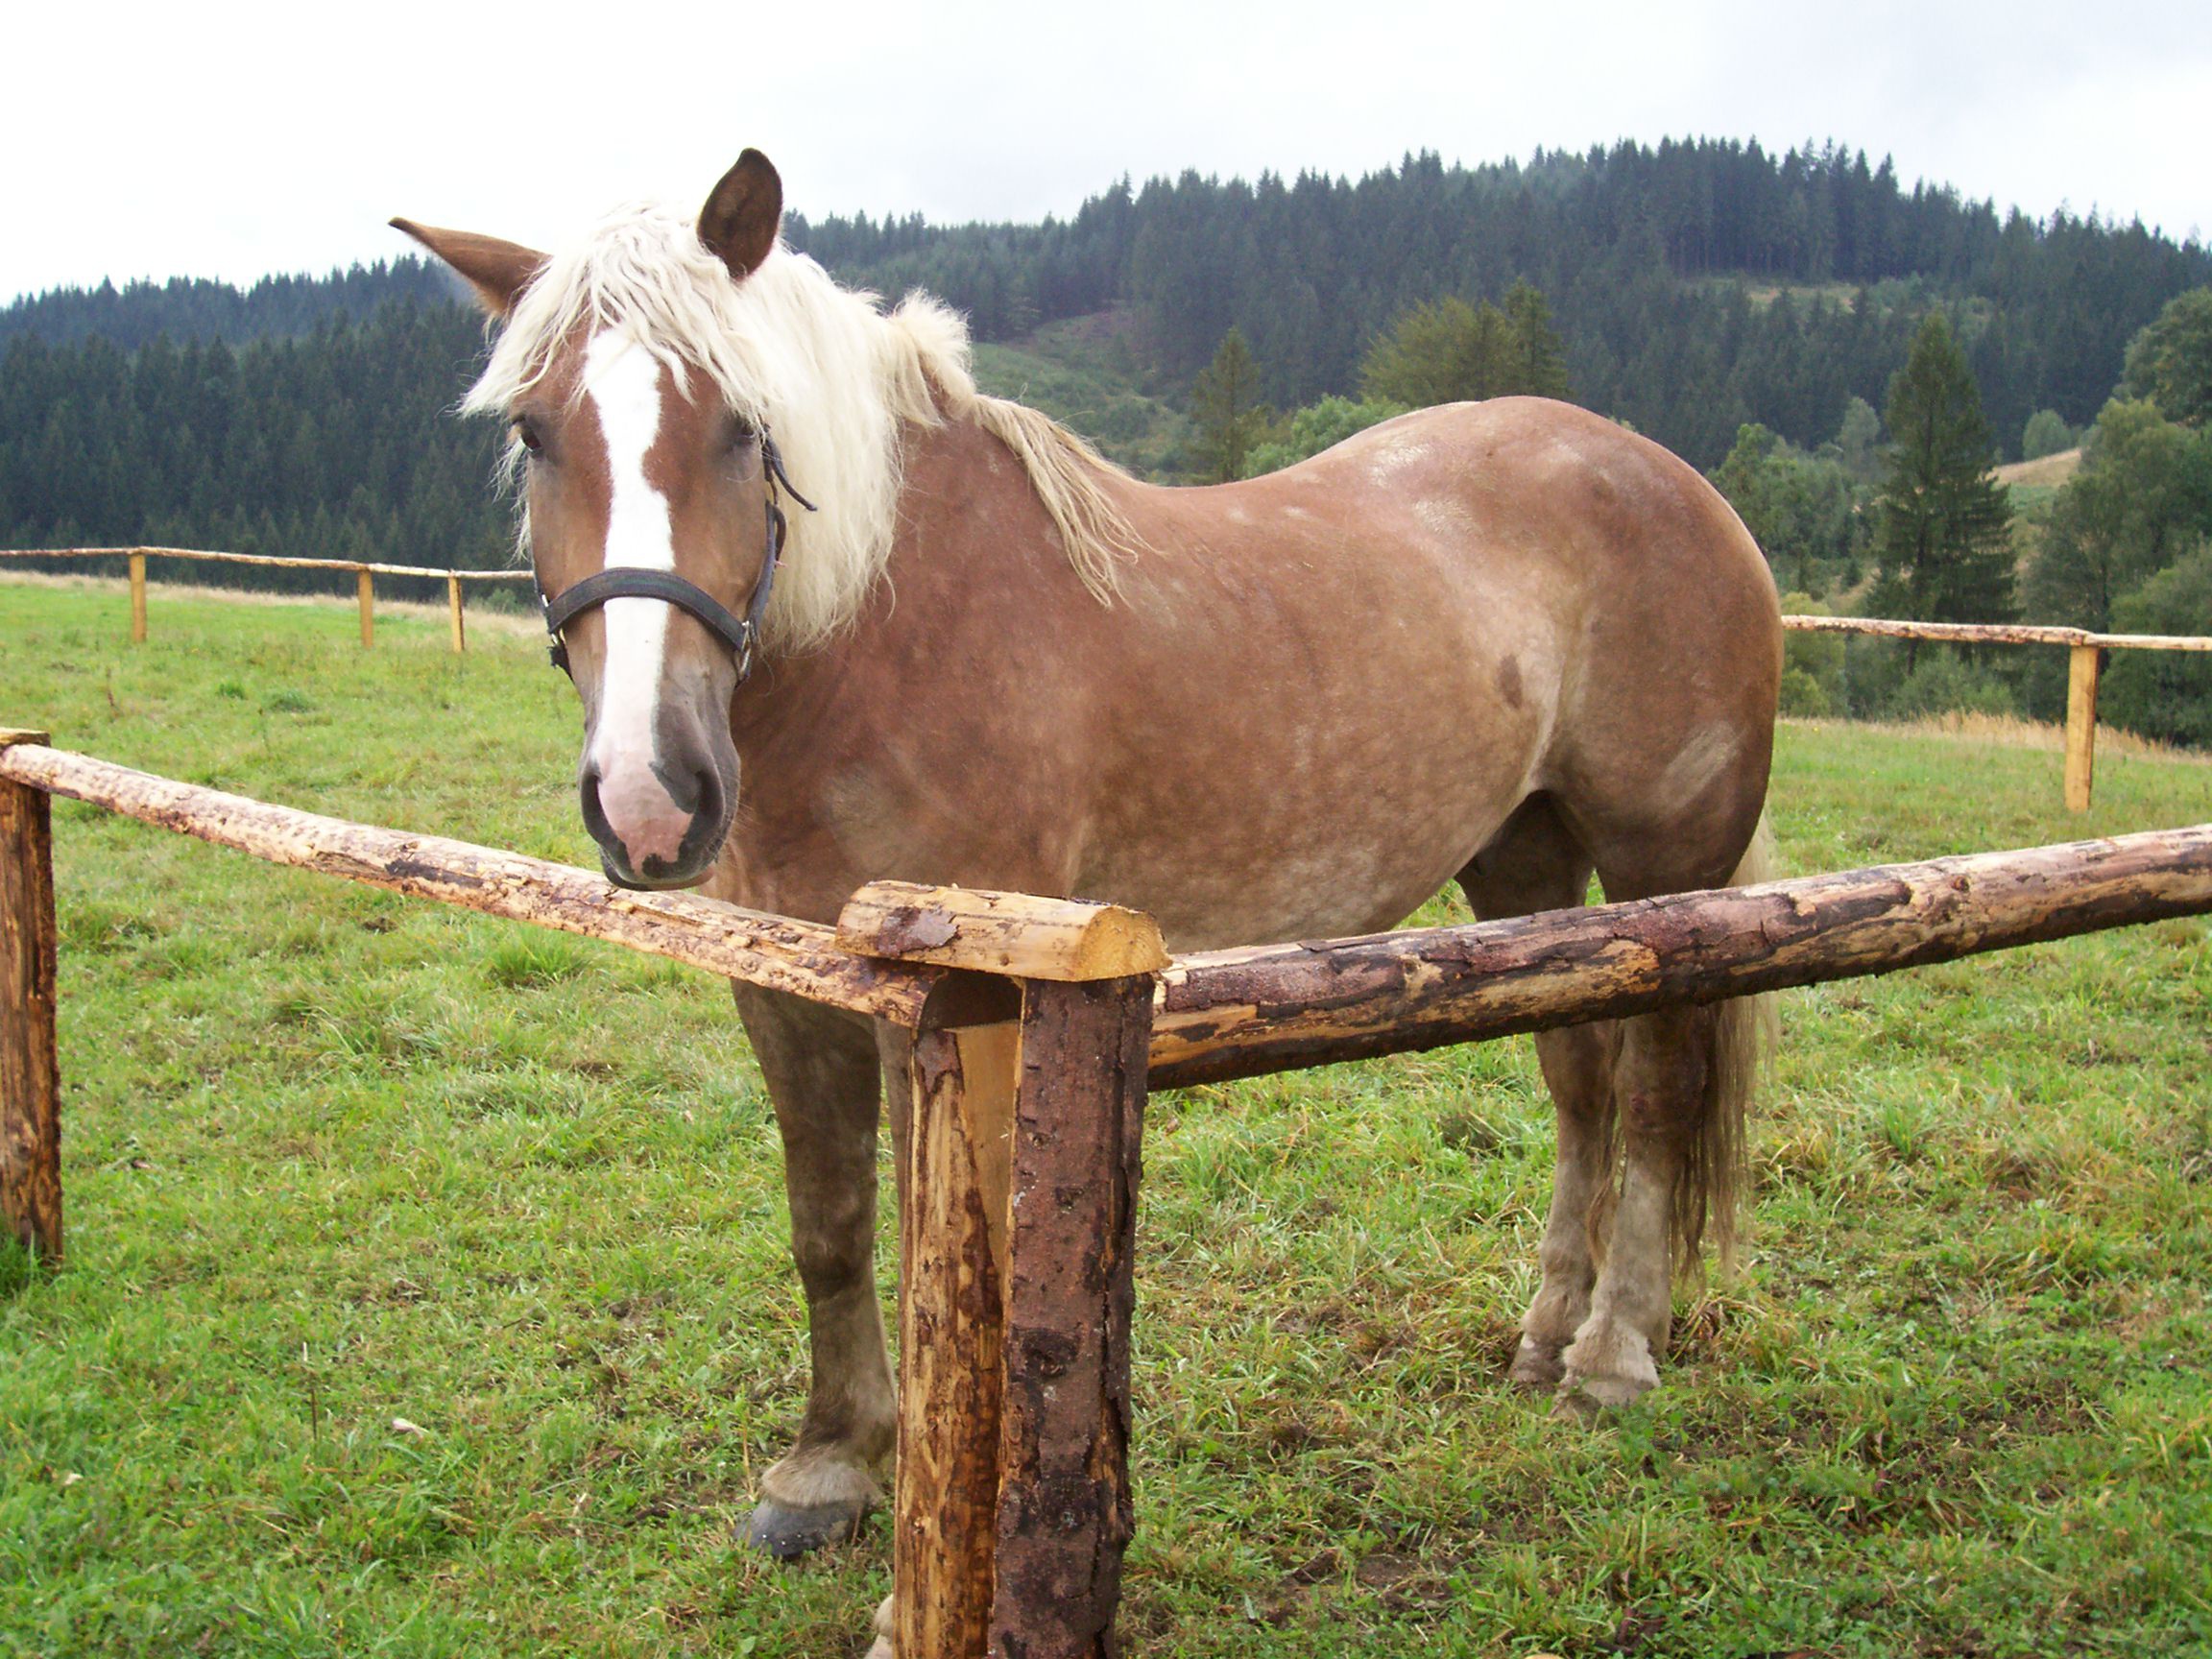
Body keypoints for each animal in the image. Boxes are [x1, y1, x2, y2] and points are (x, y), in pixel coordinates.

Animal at [395, 148, 1781, 1591]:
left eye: (743, 425)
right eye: (535, 433)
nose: (648, 794)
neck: (885, 632)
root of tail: (1679, 485)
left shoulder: (967, 1006)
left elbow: (950, 1260)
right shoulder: (786, 988)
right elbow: (828, 1223)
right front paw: (827, 1467)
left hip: (1672, 870)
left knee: (1663, 1092)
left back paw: (1614, 1354)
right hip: (1525, 862)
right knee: (1583, 1081)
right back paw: (1547, 1332)